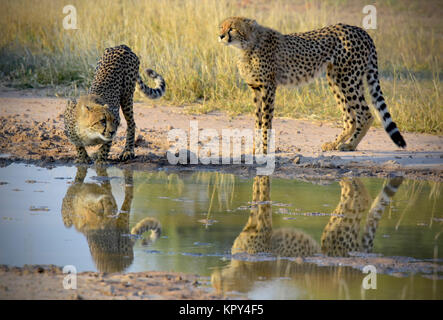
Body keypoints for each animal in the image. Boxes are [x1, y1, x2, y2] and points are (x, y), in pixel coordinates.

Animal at [218, 16, 406, 154]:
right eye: (221, 26)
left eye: (232, 28)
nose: (220, 36)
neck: (248, 45)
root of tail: (361, 30)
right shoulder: (256, 89)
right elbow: (257, 121)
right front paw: (255, 149)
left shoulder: (268, 88)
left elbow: (265, 121)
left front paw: (264, 149)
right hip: (336, 79)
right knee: (350, 117)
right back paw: (334, 144)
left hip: (348, 79)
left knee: (365, 114)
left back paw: (350, 145)